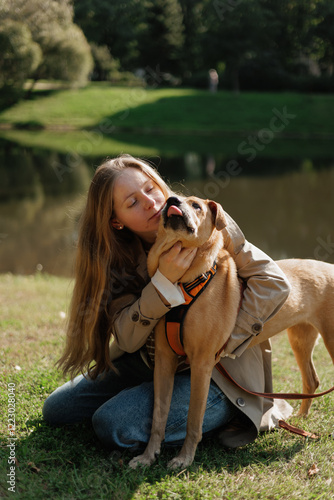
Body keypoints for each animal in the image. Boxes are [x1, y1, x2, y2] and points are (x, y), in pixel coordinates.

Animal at [129, 194, 334, 468]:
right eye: (168, 201)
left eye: (196, 206)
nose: (172, 199)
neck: (184, 282)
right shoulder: (164, 360)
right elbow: (158, 416)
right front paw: (147, 456)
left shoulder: (202, 363)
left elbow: (194, 419)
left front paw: (184, 458)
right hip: (300, 338)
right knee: (311, 379)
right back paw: (301, 419)